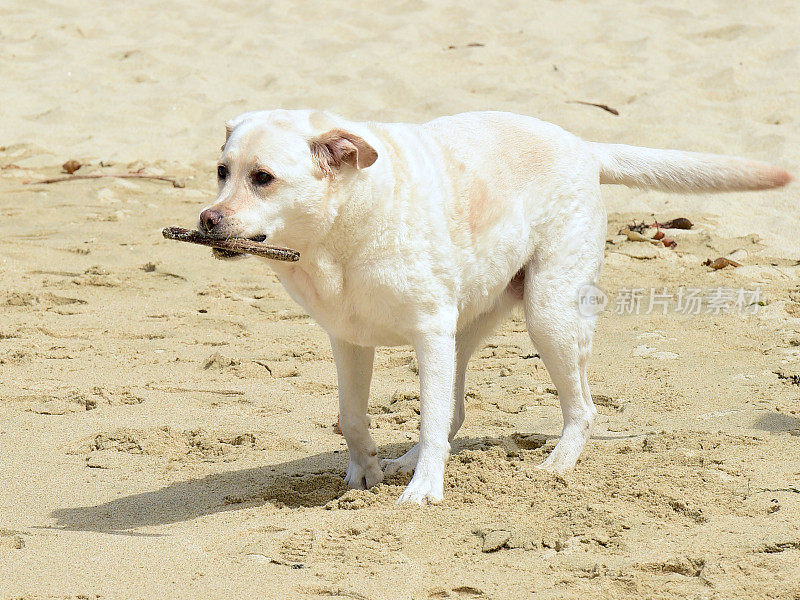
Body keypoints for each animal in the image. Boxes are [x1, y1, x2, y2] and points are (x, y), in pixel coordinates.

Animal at [198, 110, 788, 504]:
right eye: (223, 171)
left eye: (263, 177)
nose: (206, 219)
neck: (343, 228)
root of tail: (583, 145)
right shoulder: (348, 339)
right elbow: (354, 415)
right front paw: (366, 473)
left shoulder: (429, 333)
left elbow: (429, 420)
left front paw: (424, 492)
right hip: (468, 328)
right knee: (452, 413)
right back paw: (407, 461)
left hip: (547, 315)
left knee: (580, 408)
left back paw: (555, 466)